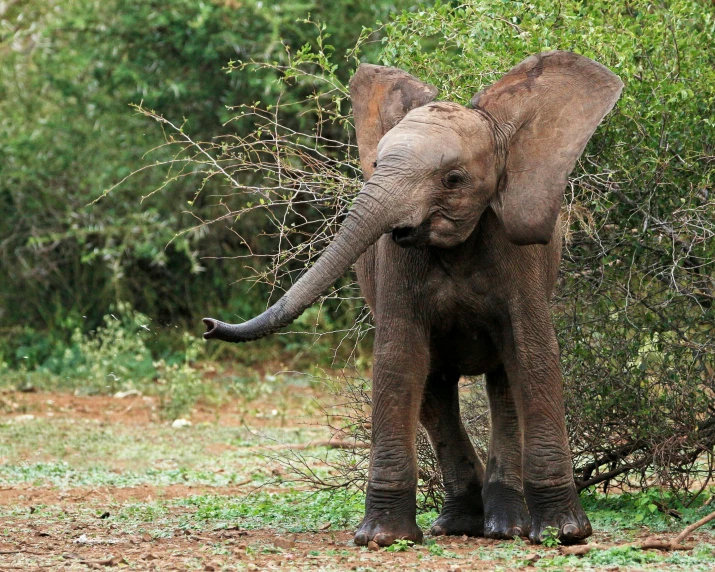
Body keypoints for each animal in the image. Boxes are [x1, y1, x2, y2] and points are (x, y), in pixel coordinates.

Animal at [204, 52, 624, 544]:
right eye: (377, 163)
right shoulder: (395, 262)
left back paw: (505, 527)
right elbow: (399, 357)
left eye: (453, 179)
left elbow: (532, 354)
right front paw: (381, 538)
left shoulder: (519, 254)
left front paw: (565, 533)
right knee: (434, 388)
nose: (208, 325)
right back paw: (460, 523)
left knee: (503, 382)